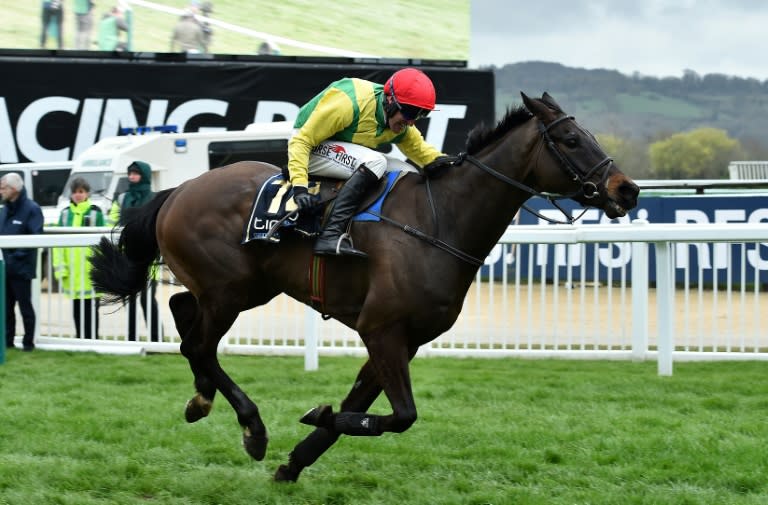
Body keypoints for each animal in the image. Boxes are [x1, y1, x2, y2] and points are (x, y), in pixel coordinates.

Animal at [90, 92, 640, 482]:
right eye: (571, 140)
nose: (628, 189)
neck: (439, 222)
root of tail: (178, 189)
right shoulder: (382, 329)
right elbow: (401, 416)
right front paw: (313, 417)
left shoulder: (403, 338)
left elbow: (361, 406)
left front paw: (297, 459)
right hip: (230, 291)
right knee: (199, 343)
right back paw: (252, 427)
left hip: (245, 287)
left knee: (184, 315)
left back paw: (201, 401)